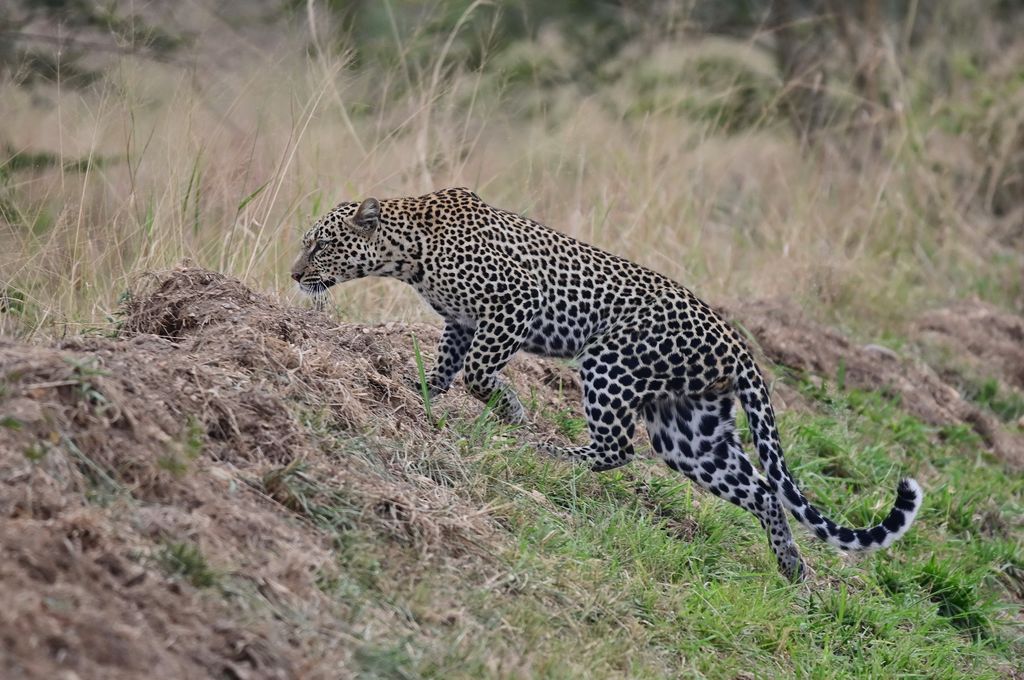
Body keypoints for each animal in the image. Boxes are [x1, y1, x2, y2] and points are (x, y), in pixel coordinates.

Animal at [292, 186, 925, 577]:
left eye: (320, 243)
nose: (295, 273)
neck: (409, 252)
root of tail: (738, 342)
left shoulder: (513, 306)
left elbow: (478, 371)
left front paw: (509, 408)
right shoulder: (462, 322)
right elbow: (448, 369)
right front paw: (421, 397)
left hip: (608, 361)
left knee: (616, 447)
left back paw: (544, 449)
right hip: (689, 432)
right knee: (763, 490)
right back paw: (793, 567)